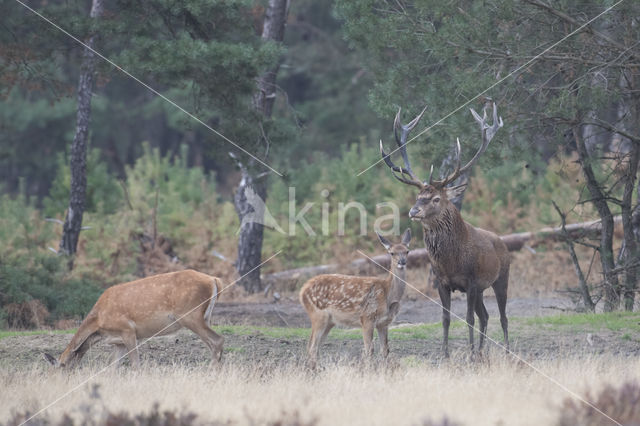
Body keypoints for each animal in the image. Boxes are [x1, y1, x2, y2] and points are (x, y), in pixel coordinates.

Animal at [298, 228, 412, 368]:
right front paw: (369, 369)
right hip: (318, 315)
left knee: (316, 345)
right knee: (312, 345)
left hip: (330, 321)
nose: (402, 262)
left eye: (407, 251)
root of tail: (302, 291)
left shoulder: (383, 323)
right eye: (391, 253)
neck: (387, 294)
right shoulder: (367, 317)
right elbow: (369, 349)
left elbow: (385, 349)